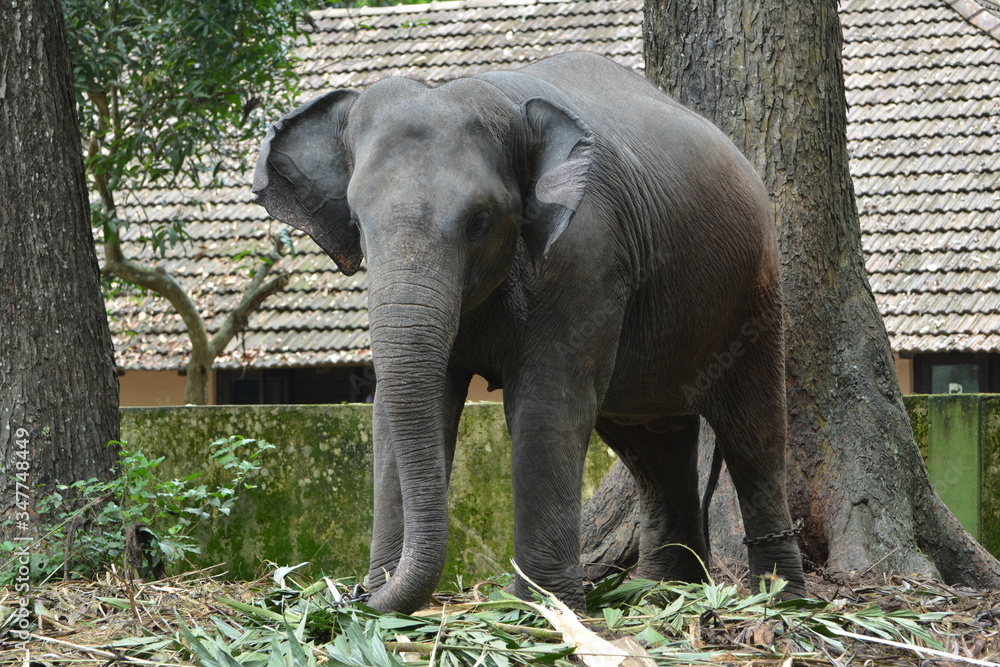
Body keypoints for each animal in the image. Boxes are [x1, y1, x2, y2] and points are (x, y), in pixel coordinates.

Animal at [252, 51, 806, 613]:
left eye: (479, 221)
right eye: (357, 223)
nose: (354, 595)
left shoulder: (586, 251)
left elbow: (546, 404)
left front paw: (543, 611)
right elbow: (399, 409)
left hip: (755, 295)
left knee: (753, 432)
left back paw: (782, 601)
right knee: (652, 440)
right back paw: (664, 596)